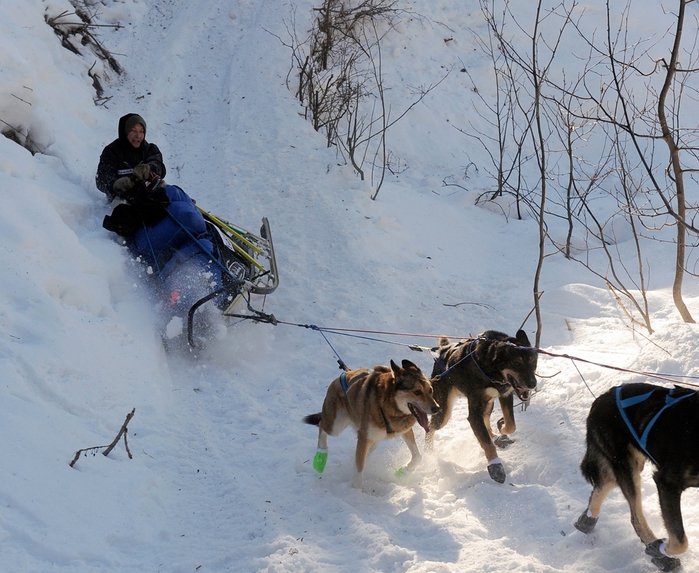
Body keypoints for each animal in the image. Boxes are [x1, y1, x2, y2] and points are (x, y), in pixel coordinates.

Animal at [304, 358, 440, 488]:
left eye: (431, 390)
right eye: (417, 392)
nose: (437, 409)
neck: (388, 406)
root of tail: (344, 374)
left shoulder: (404, 430)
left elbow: (418, 457)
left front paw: (404, 471)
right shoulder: (364, 437)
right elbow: (359, 469)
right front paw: (356, 490)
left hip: (372, 438)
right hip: (336, 425)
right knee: (322, 426)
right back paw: (320, 458)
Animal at [424, 330, 540, 482]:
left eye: (533, 362)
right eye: (516, 363)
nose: (532, 384)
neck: (490, 369)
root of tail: (444, 351)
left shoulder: (505, 395)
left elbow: (511, 424)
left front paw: (502, 427)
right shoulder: (474, 413)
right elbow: (486, 442)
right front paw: (495, 465)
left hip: (488, 405)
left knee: (486, 420)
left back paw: (496, 436)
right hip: (444, 412)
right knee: (431, 427)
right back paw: (428, 453)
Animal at [576, 380, 699, 572]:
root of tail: (600, 399)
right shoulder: (667, 483)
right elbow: (680, 540)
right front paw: (658, 549)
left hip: (631, 464)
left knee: (605, 484)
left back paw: (586, 519)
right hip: (628, 468)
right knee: (635, 518)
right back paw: (661, 555)